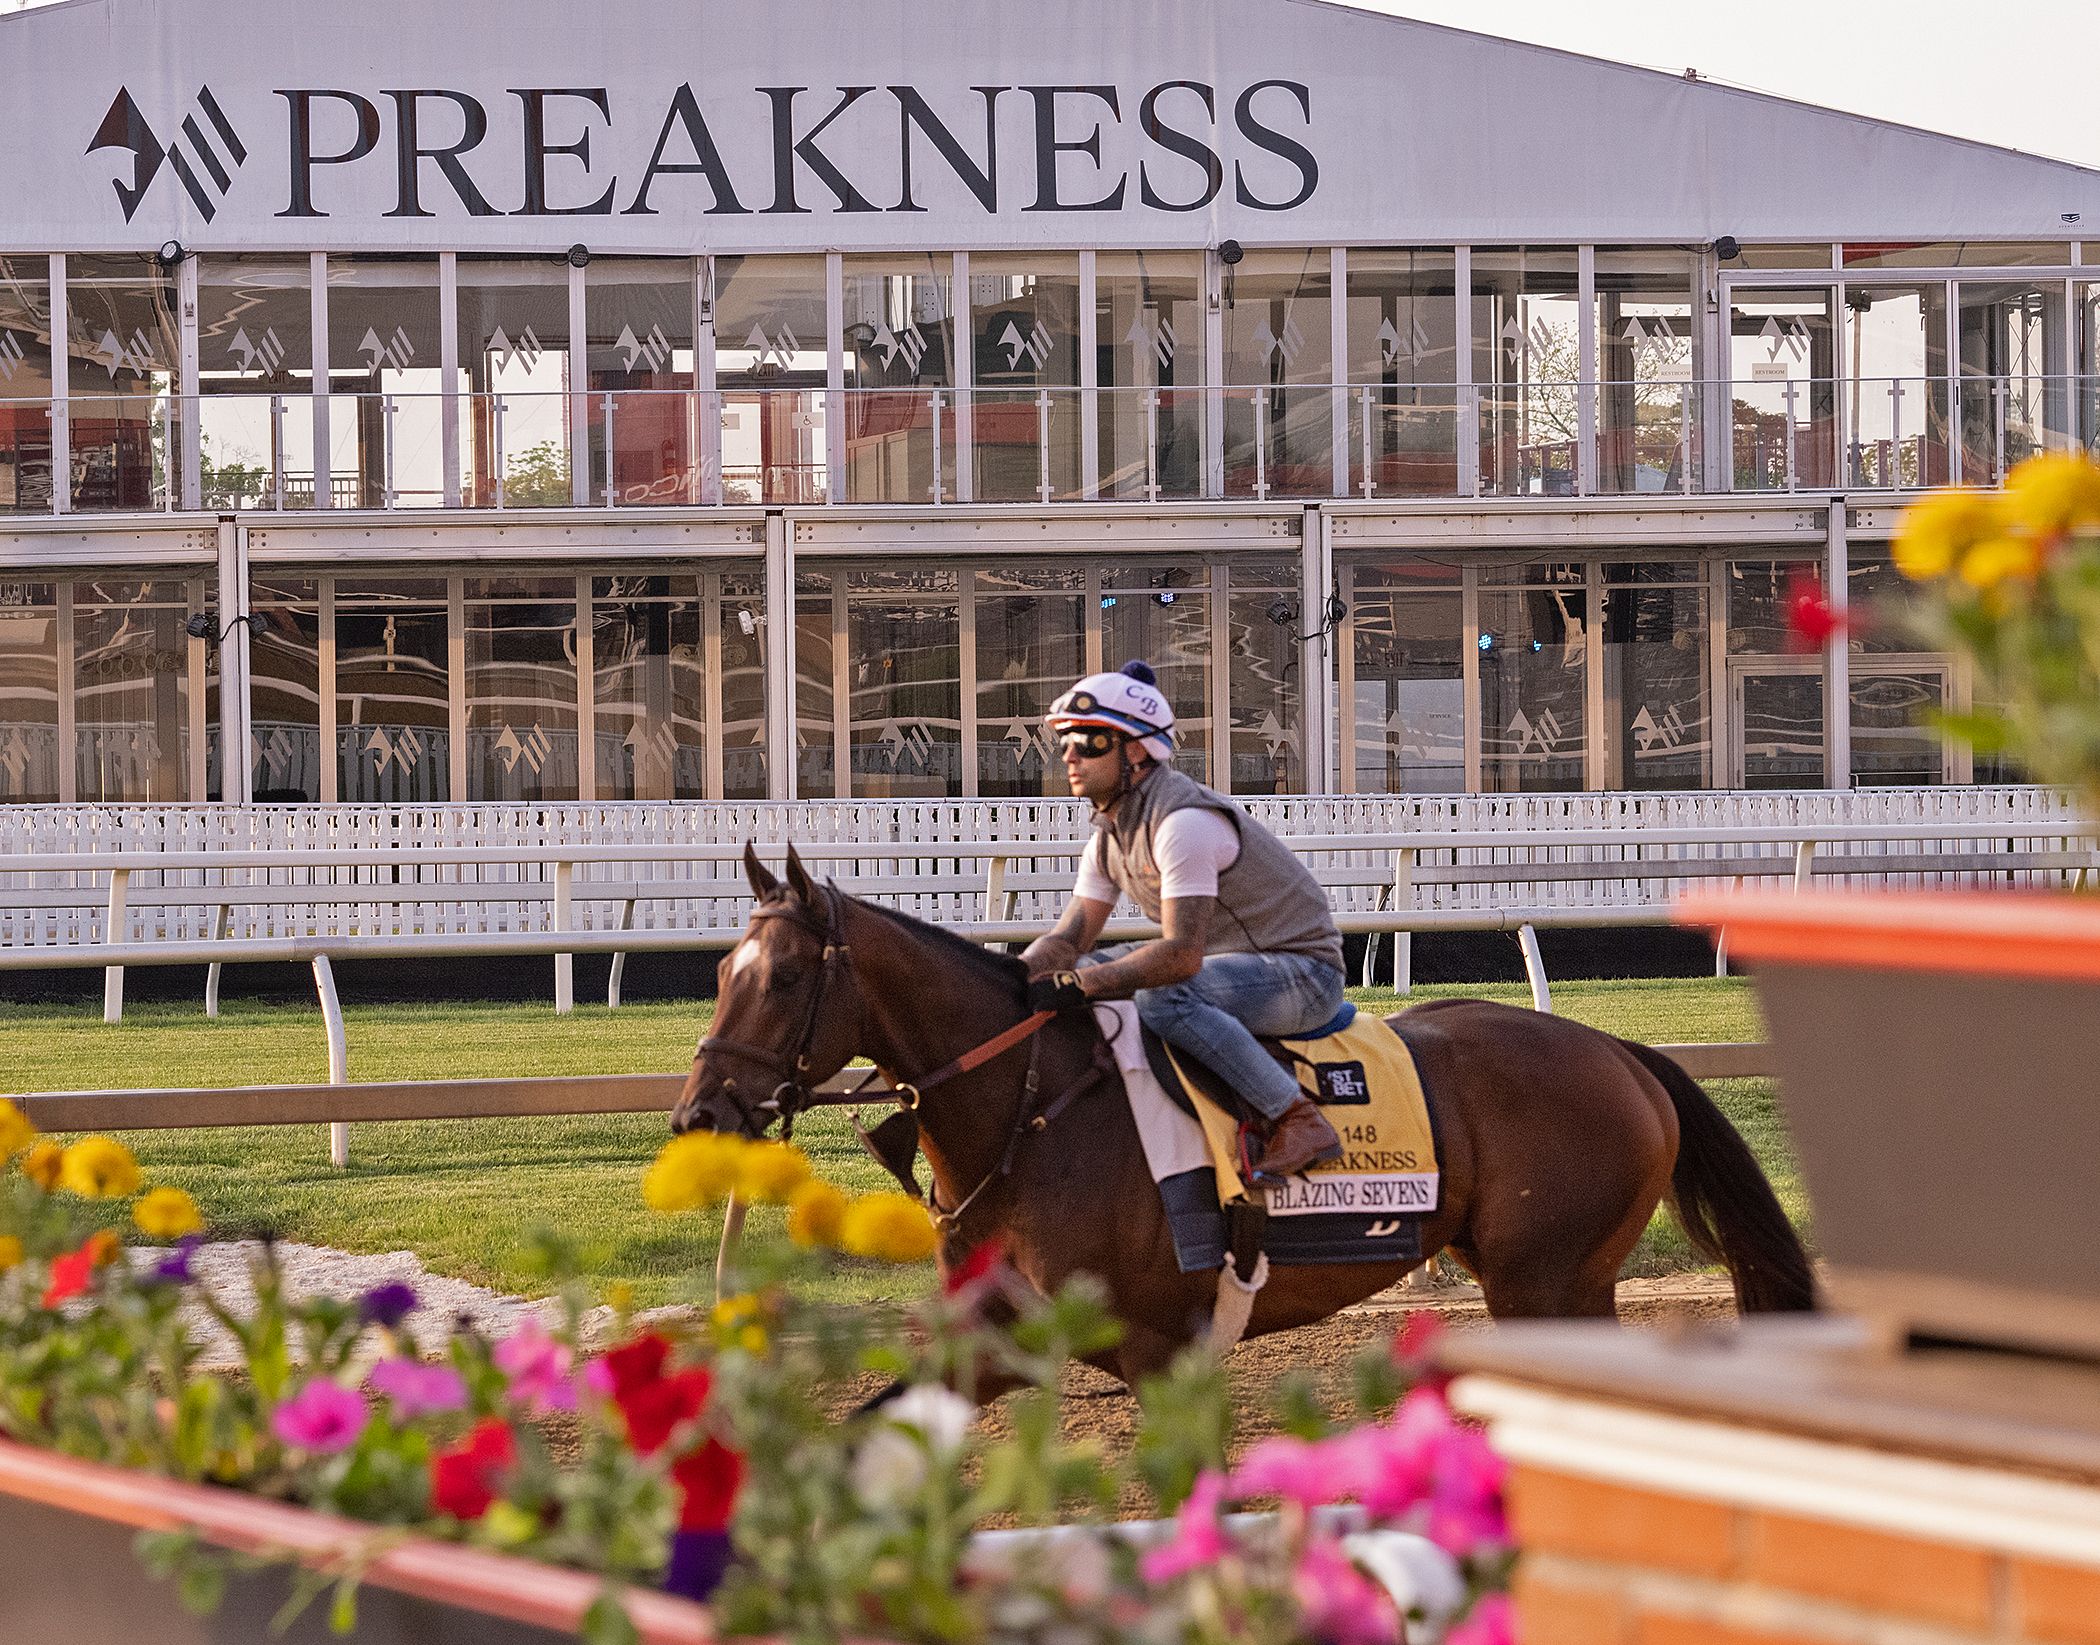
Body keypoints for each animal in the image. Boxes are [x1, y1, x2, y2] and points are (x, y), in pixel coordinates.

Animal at [667, 844, 1805, 1386]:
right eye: (718, 973)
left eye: (780, 979)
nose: (700, 1111)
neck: (1033, 1115)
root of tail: (1619, 1052)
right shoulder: (988, 1339)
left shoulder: (1159, 1348)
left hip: (1548, 1282)